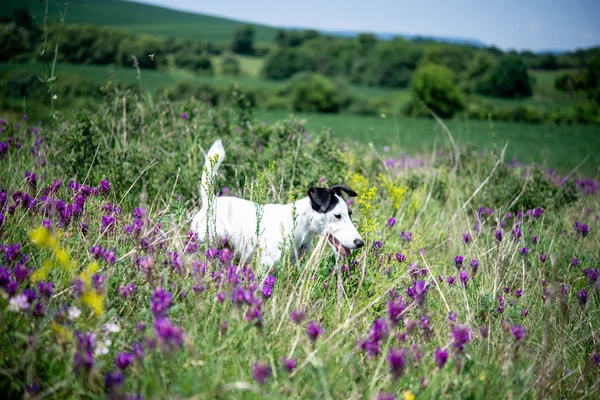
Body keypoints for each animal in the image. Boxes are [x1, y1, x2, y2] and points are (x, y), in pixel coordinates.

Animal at [190, 139, 364, 268]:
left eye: (350, 214)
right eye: (337, 215)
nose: (360, 243)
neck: (299, 226)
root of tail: (210, 201)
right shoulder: (266, 266)